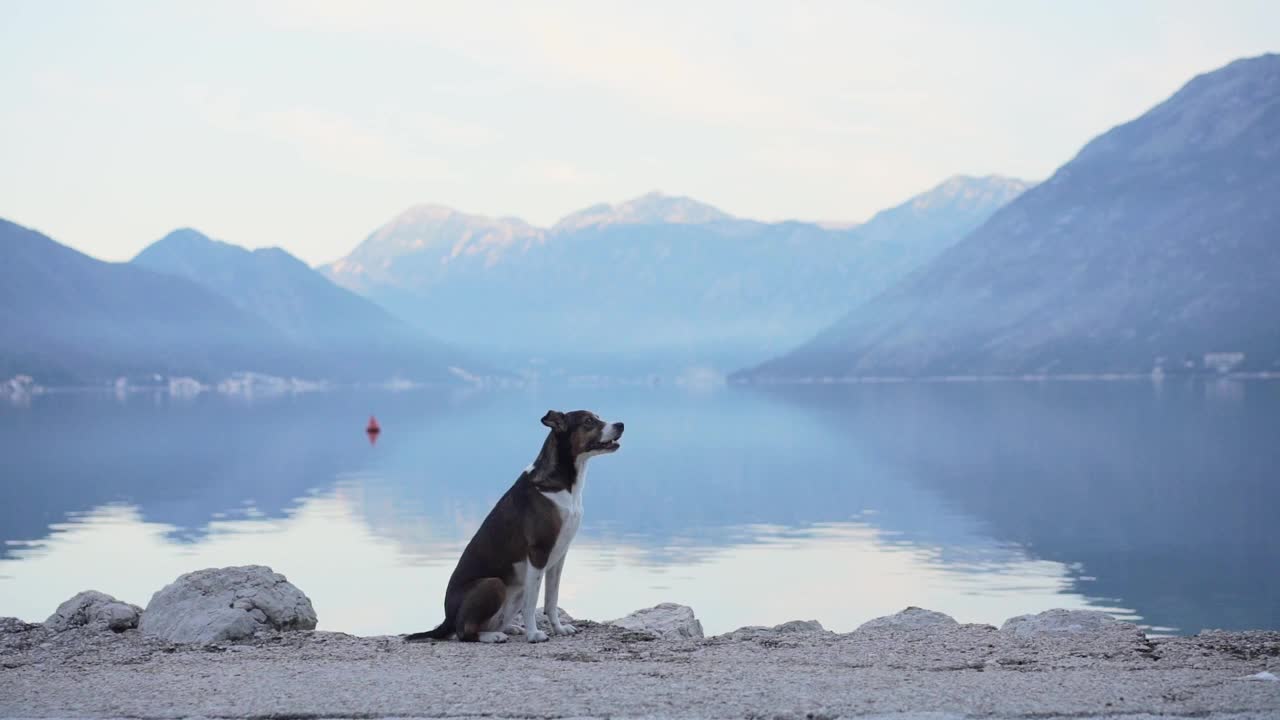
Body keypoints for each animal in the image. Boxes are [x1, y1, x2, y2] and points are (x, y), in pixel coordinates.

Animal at [399, 407, 619, 640]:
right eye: (588, 421)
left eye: (597, 417)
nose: (621, 425)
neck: (563, 486)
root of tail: (447, 618)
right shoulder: (539, 552)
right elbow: (532, 603)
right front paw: (534, 634)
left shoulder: (558, 555)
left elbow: (551, 599)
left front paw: (558, 628)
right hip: (494, 583)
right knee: (464, 632)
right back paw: (493, 636)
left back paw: (509, 628)